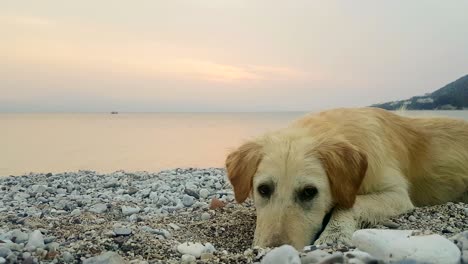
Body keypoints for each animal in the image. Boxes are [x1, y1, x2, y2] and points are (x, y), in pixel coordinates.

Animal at [224, 106, 468, 250]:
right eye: (263, 189)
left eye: (309, 192)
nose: (272, 251)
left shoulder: (397, 194)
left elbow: (351, 203)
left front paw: (334, 232)